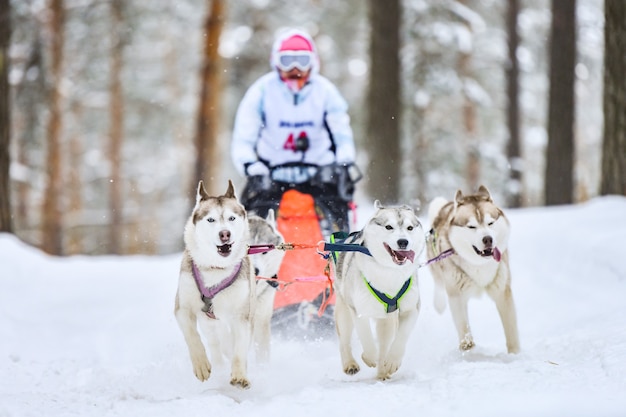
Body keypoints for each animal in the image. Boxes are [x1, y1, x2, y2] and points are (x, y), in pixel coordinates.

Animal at [173, 180, 254, 388]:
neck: (216, 269)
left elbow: (239, 348)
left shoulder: (241, 314)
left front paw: (240, 374)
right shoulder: (183, 308)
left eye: (232, 218)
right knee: (215, 343)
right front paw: (201, 364)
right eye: (211, 220)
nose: (225, 234)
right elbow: (192, 336)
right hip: (208, 322)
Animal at [332, 202, 424, 380]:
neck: (389, 272)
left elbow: (401, 337)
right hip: (344, 311)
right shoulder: (358, 310)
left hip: (386, 320)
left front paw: (392, 361)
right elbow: (366, 337)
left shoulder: (411, 309)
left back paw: (383, 371)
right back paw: (350, 364)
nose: (403, 242)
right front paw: (370, 357)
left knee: (385, 343)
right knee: (344, 340)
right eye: (389, 227)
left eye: (409, 228)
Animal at [426, 187, 520, 352]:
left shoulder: (503, 291)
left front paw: (515, 354)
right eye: (471, 226)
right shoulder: (456, 295)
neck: (479, 264)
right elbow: (463, 326)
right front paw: (467, 345)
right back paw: (439, 304)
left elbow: (511, 330)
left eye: (490, 223)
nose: (488, 239)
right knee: (439, 284)